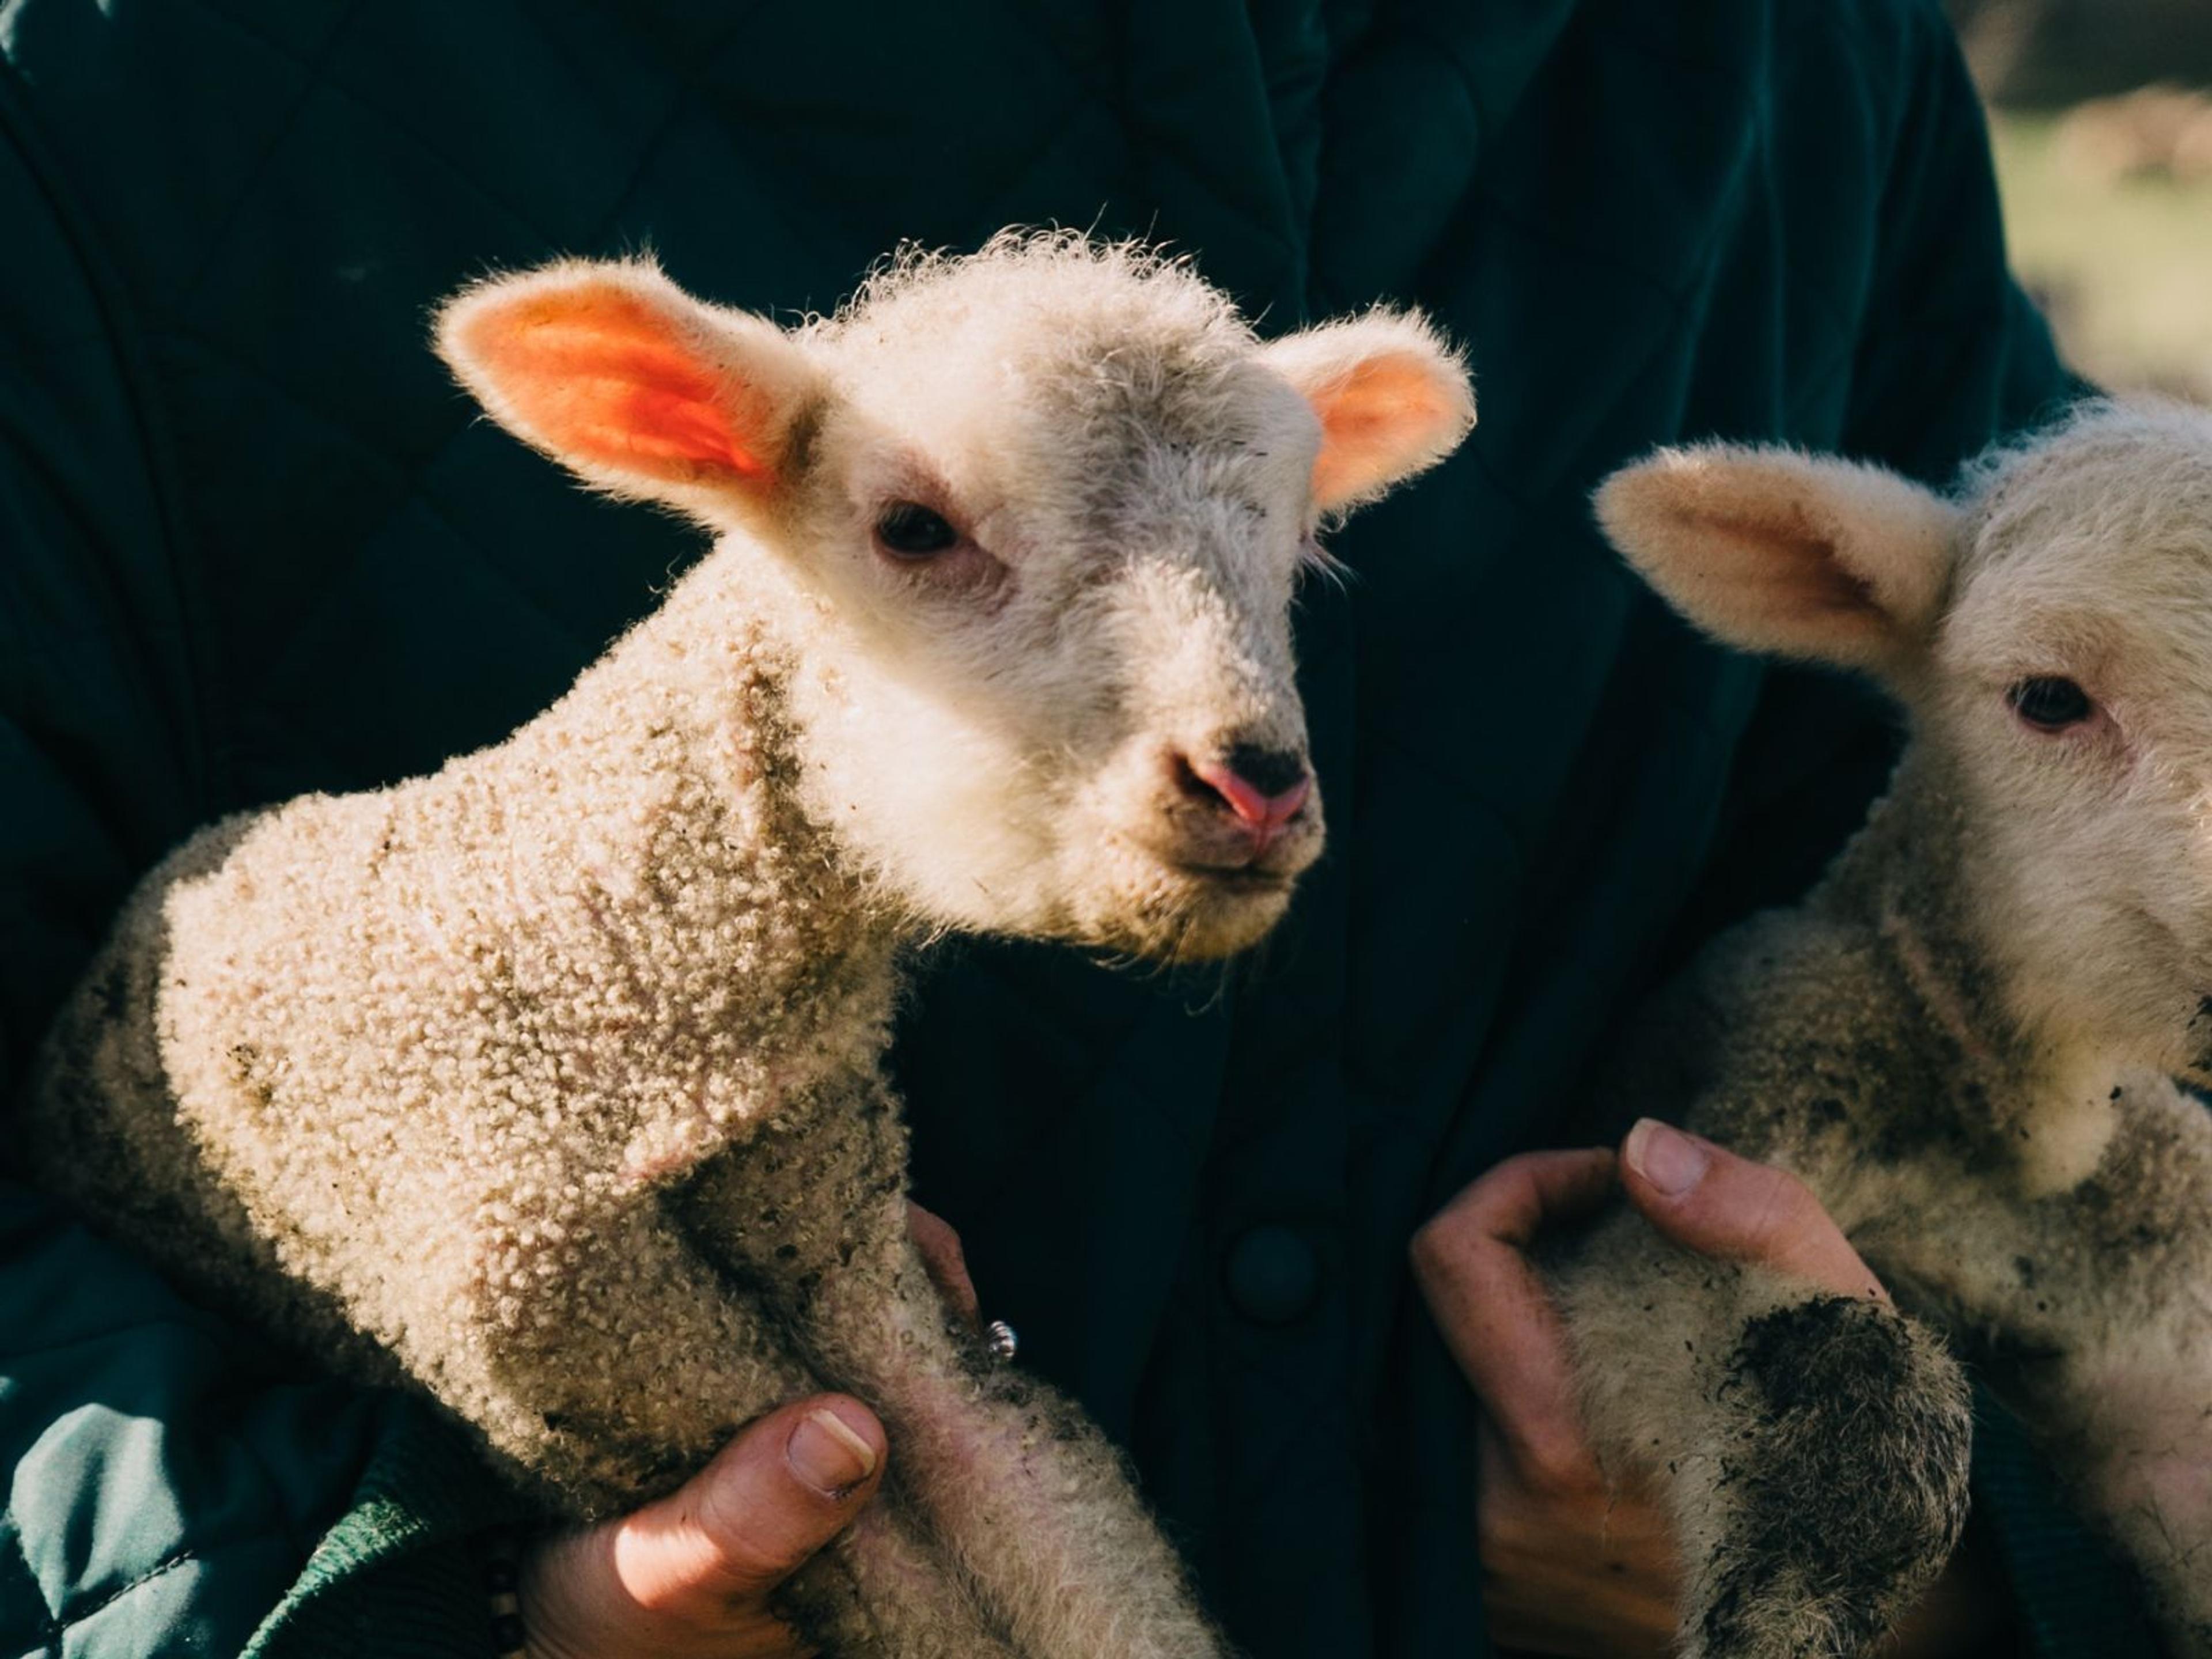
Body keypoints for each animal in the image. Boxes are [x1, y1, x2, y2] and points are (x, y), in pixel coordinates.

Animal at [24, 232, 1475, 1659]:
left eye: (1290, 550)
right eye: (912, 528)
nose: (1256, 784)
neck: (593, 973)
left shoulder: (844, 1246)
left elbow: (1043, 1509)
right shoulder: (578, 1347)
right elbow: (900, 1570)